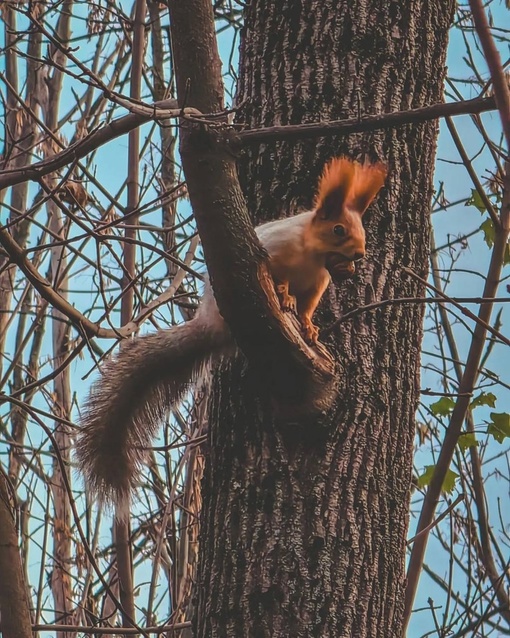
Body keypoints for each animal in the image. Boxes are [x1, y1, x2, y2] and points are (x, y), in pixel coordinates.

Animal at [75, 160, 386, 516]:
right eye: (338, 230)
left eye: (361, 232)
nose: (359, 254)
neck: (312, 253)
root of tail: (209, 325)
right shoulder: (275, 254)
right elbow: (279, 278)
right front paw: (284, 295)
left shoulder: (318, 282)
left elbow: (308, 308)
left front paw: (309, 328)